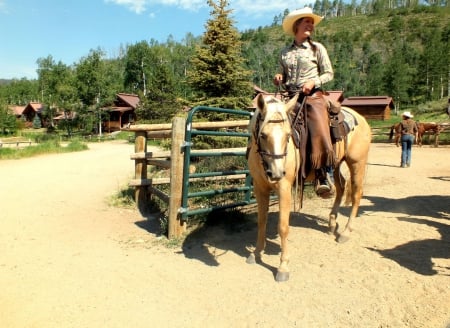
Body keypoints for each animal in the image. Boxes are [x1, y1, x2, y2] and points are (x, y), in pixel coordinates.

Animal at [248, 93, 370, 282]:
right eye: (263, 135)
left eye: (288, 135)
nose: (276, 173)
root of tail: (360, 118)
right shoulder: (259, 188)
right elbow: (262, 221)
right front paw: (256, 253)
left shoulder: (284, 189)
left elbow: (283, 227)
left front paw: (283, 267)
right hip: (335, 163)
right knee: (341, 188)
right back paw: (331, 224)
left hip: (357, 163)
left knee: (356, 194)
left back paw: (345, 233)